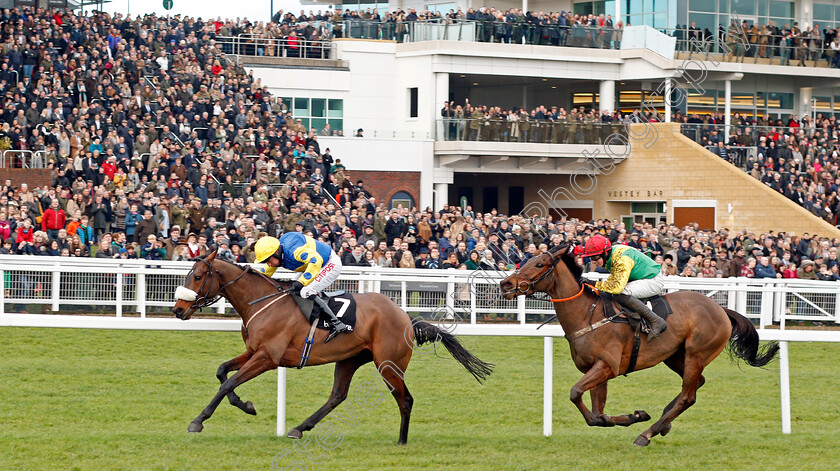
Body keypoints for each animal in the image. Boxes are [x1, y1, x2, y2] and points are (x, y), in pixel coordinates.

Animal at [172, 249, 492, 444]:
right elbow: (222, 372)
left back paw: (402, 440)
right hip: (350, 359)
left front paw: (199, 420)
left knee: (405, 399)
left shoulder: (267, 358)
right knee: (337, 396)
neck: (261, 303)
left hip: (388, 365)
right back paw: (299, 428)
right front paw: (245, 405)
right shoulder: (253, 352)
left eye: (197, 276)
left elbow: (228, 382)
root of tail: (405, 317)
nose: (177, 309)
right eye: (187, 275)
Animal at [498, 245, 780, 448]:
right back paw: (663, 423)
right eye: (526, 260)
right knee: (696, 385)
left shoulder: (607, 366)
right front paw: (633, 416)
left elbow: (576, 393)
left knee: (688, 396)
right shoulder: (597, 369)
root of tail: (721, 310)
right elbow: (597, 414)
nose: (506, 284)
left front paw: (636, 419)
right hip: (675, 356)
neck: (587, 314)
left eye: (540, 264)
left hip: (696, 354)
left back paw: (647, 433)